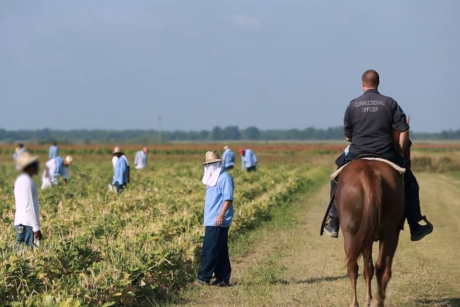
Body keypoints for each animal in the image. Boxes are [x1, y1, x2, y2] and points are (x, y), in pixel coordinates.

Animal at [334, 159, 406, 307]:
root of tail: (369, 173)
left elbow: (367, 268)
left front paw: (367, 299)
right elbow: (370, 268)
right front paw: (369, 299)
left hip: (351, 235)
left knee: (353, 266)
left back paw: (357, 302)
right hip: (390, 236)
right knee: (381, 268)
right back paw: (377, 301)